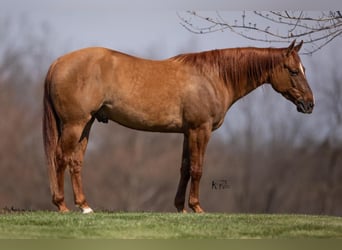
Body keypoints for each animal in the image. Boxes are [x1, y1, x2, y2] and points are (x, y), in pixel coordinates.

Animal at [43, 40, 316, 214]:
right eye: (293, 71)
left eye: (304, 69)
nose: (309, 104)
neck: (213, 76)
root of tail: (58, 62)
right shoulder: (200, 130)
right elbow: (197, 168)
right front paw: (197, 207)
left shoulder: (188, 132)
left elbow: (185, 168)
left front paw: (180, 207)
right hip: (75, 124)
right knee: (60, 157)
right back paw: (62, 205)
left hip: (86, 125)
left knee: (75, 161)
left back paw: (85, 206)